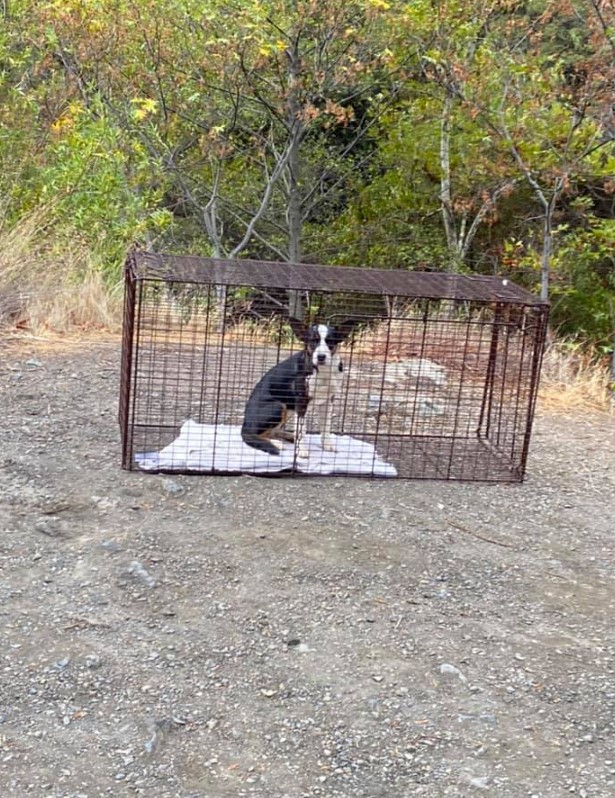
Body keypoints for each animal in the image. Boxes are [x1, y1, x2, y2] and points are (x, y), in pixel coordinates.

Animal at [242, 316, 360, 460]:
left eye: (329, 341)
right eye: (313, 341)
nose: (321, 357)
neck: (323, 372)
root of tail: (245, 424)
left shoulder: (328, 401)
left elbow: (326, 426)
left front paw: (327, 445)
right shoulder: (302, 401)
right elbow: (301, 429)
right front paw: (301, 451)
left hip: (289, 409)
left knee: (275, 431)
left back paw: (290, 437)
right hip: (278, 406)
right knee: (258, 434)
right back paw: (277, 443)